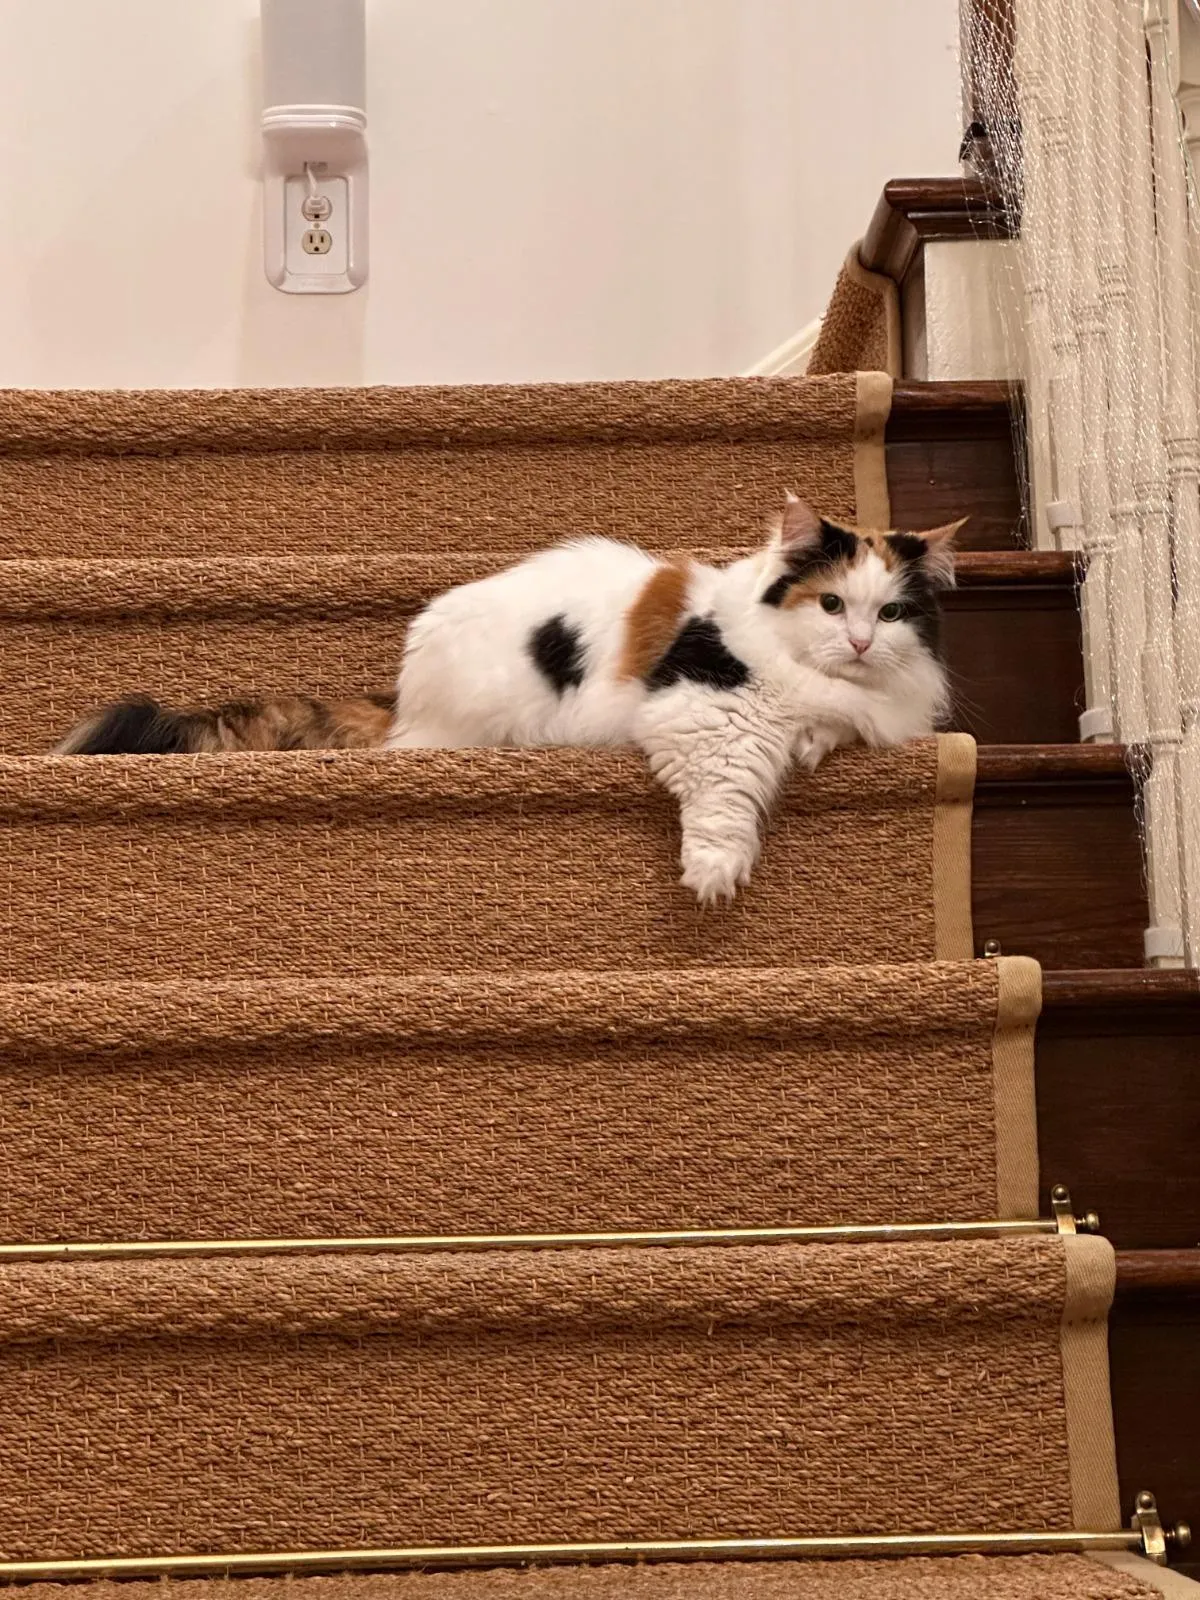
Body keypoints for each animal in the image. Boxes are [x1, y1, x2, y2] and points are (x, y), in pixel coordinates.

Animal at [386, 494, 963, 903]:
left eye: (890, 614)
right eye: (831, 604)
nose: (861, 643)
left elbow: (839, 721)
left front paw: (814, 739)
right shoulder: (703, 717)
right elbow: (724, 798)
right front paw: (715, 871)